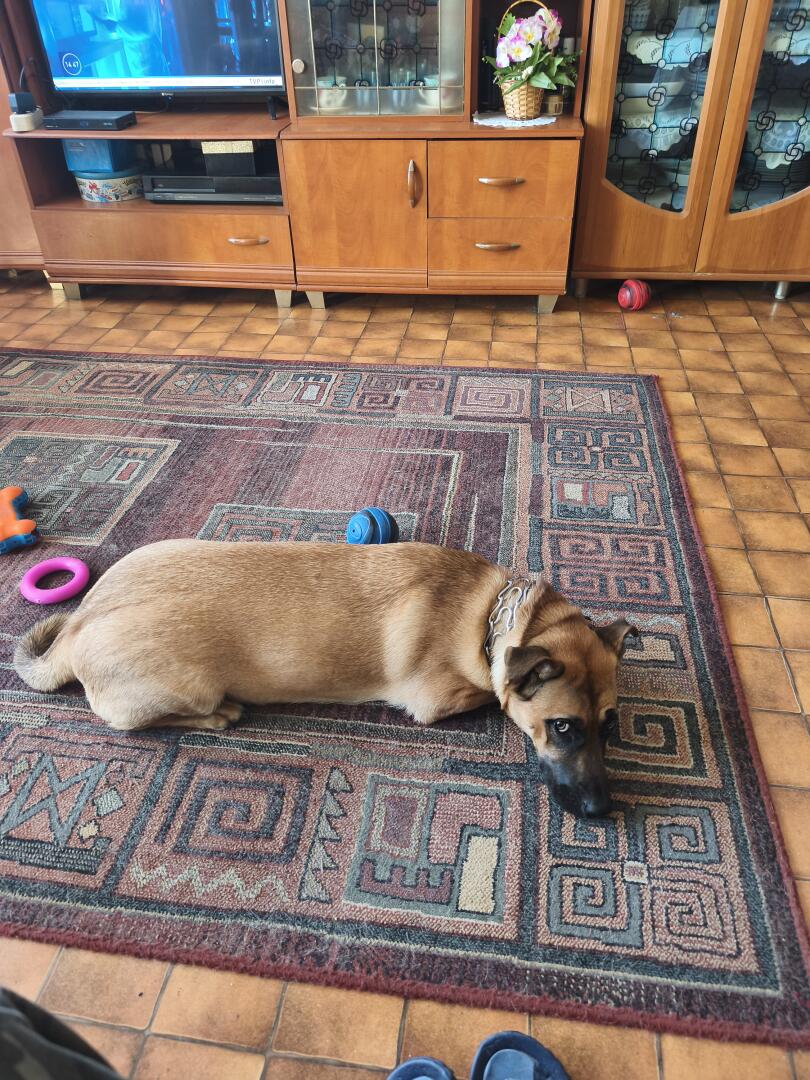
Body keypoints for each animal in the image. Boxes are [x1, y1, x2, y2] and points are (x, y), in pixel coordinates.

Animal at [14, 540, 636, 818]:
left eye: (610, 726)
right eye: (562, 727)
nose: (602, 810)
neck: (490, 613)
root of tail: (76, 629)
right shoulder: (444, 698)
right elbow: (491, 693)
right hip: (187, 687)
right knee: (143, 721)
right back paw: (219, 715)